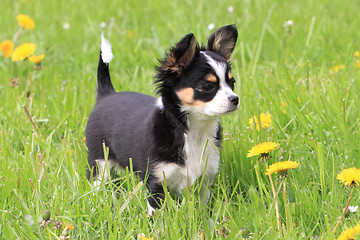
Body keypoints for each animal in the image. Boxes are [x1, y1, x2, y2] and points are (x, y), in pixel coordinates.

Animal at [86, 24, 239, 216]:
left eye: (232, 83)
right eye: (207, 86)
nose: (235, 99)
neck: (195, 130)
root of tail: (107, 94)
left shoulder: (204, 180)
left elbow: (203, 208)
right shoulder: (157, 181)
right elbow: (158, 213)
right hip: (99, 161)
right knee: (96, 183)